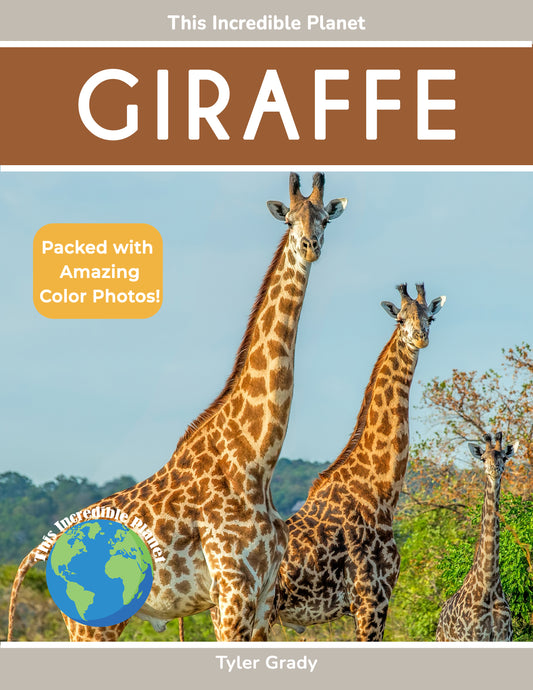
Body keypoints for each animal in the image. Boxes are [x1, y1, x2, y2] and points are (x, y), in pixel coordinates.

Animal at [8, 172, 347, 643]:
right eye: (289, 220)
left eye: (324, 220)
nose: (309, 246)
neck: (256, 459)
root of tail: (41, 549)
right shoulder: (232, 593)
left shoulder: (262, 600)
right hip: (89, 623)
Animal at [265, 283, 445, 641]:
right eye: (400, 319)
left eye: (430, 317)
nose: (420, 337)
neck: (380, 493)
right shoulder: (369, 599)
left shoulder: (376, 600)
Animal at [436, 432, 516, 641]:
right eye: (483, 458)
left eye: (504, 457)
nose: (494, 469)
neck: (489, 584)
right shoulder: (473, 637)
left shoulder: (504, 637)